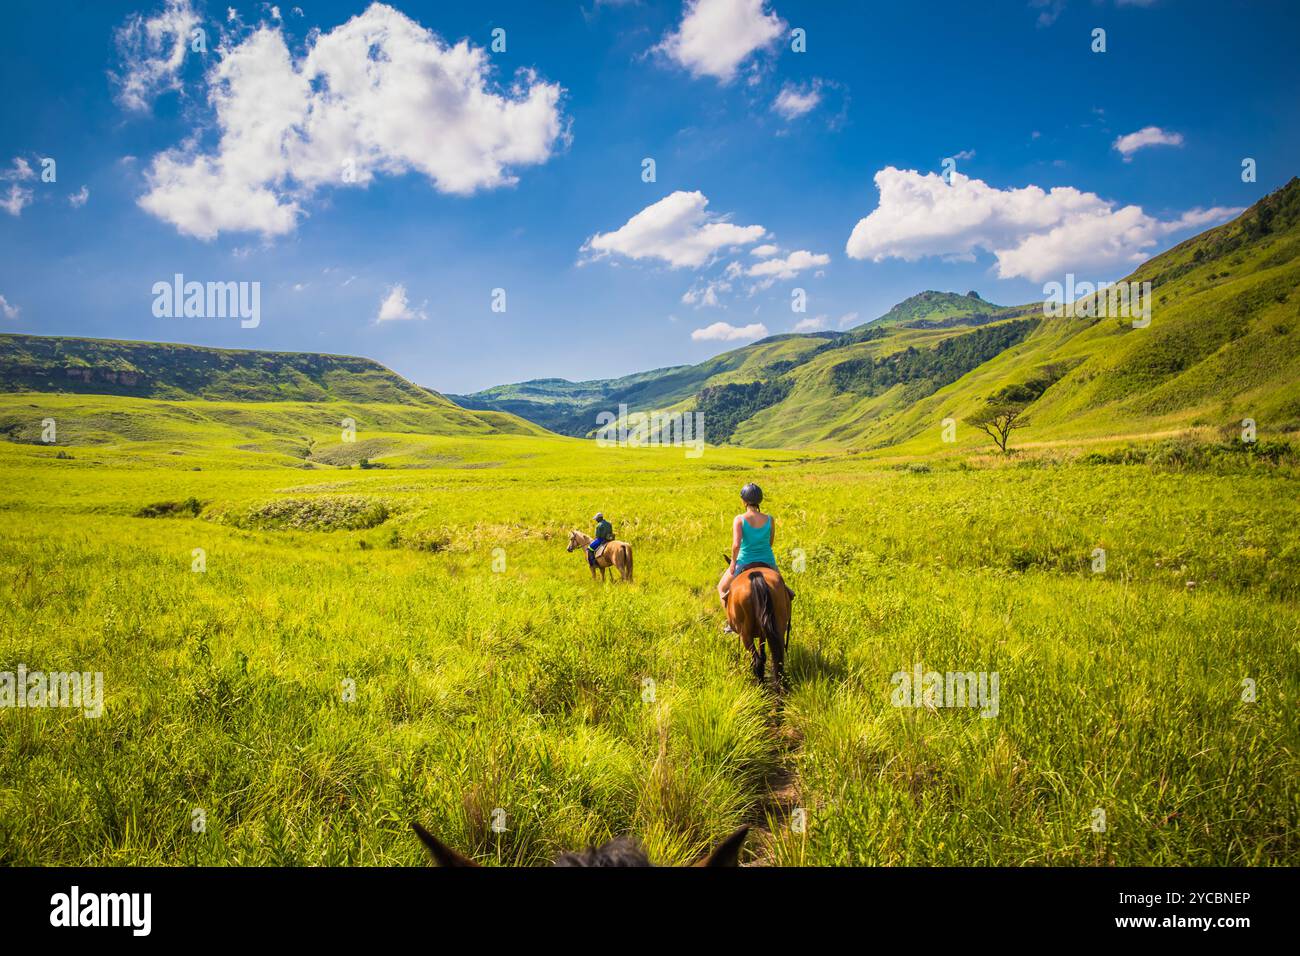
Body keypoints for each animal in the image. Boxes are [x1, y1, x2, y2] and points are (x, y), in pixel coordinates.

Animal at [722, 556, 790, 686]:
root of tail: (756, 576)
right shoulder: (763, 633)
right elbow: (763, 655)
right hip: (778, 627)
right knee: (778, 659)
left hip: (745, 635)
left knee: (756, 660)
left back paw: (760, 685)